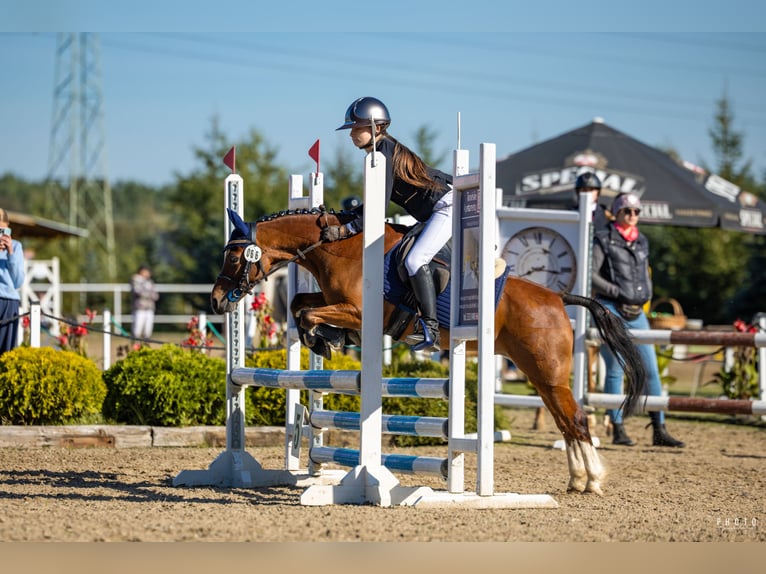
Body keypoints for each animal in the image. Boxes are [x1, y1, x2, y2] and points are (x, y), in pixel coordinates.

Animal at [211, 207, 646, 495]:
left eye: (233, 255)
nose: (216, 300)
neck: (340, 248)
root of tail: (557, 296)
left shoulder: (358, 311)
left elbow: (307, 313)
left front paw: (326, 340)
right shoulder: (333, 300)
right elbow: (301, 302)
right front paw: (328, 340)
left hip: (549, 374)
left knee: (577, 420)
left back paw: (592, 481)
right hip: (539, 375)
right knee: (565, 421)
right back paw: (578, 480)